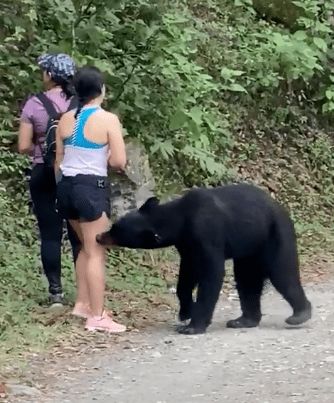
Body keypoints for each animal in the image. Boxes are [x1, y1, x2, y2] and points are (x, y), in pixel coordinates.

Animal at [96, 183, 310, 334]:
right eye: (115, 225)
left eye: (116, 231)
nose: (98, 236)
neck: (180, 219)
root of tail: (281, 208)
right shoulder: (186, 244)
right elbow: (187, 273)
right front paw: (185, 312)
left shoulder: (206, 232)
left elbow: (211, 273)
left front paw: (192, 325)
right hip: (249, 249)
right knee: (246, 280)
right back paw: (243, 320)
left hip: (274, 235)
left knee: (282, 274)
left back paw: (300, 314)